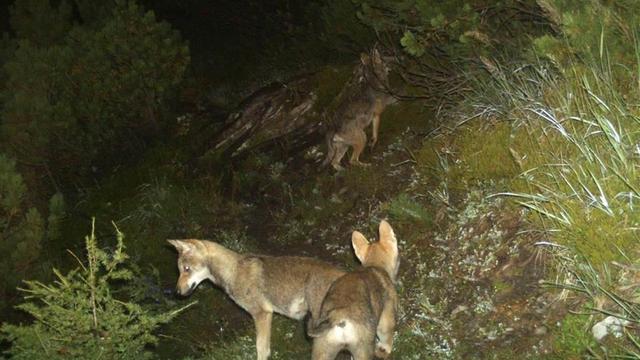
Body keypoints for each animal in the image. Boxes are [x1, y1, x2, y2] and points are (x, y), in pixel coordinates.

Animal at [168, 239, 342, 360]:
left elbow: (261, 350)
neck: (233, 272)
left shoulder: (262, 314)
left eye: (187, 269)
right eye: (179, 270)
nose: (176, 292)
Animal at [308, 219, 398, 360]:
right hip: (362, 350)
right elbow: (386, 338)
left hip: (322, 350)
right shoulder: (386, 318)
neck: (374, 265)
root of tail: (338, 317)